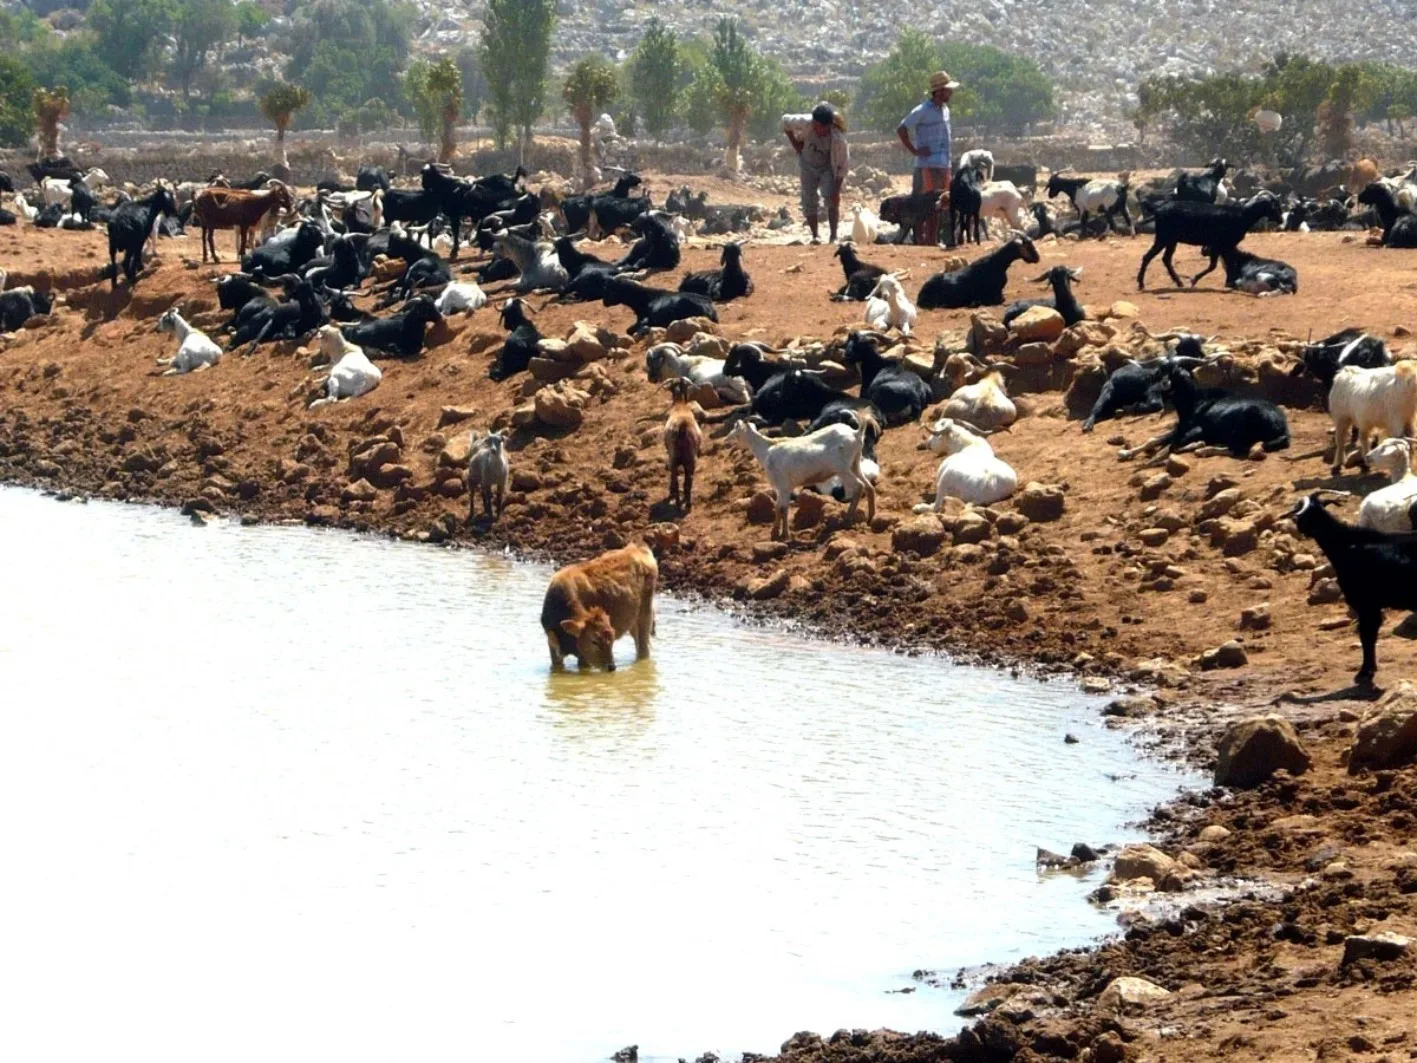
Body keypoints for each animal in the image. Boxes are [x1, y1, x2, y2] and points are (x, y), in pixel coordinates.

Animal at [663, 377, 708, 513]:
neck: (680, 405)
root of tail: (681, 428)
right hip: (689, 460)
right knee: (687, 481)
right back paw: (686, 504)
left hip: (676, 460)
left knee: (678, 480)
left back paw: (679, 504)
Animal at [731, 419, 872, 541]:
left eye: (736, 433)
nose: (728, 443)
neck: (766, 451)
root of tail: (856, 433)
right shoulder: (782, 489)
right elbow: (778, 507)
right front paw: (775, 532)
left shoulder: (784, 487)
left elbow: (783, 508)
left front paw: (785, 534)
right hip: (854, 464)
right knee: (869, 486)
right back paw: (870, 517)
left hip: (842, 468)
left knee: (859, 486)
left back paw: (847, 520)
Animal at [1133, 191, 1292, 289]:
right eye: (1276, 205)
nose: (1281, 220)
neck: (1242, 215)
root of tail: (1158, 210)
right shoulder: (1221, 244)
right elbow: (1217, 265)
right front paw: (1195, 279)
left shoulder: (1224, 246)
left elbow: (1225, 263)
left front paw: (1230, 282)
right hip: (1163, 237)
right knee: (1148, 257)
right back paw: (1141, 284)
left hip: (1171, 240)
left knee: (1166, 259)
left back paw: (1178, 282)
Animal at [1292, 496, 1417, 685]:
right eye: (1300, 508)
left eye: (1315, 510)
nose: (1298, 523)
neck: (1348, 544)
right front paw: (1368, 669)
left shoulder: (1366, 604)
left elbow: (1366, 636)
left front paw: (1364, 672)